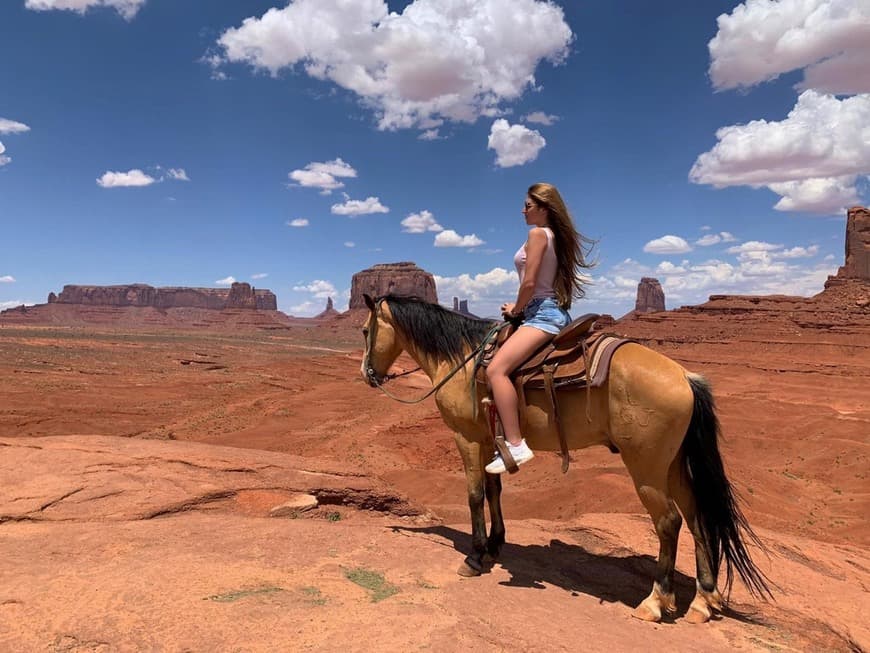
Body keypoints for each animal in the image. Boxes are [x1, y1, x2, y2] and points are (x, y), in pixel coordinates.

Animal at [360, 292, 768, 620]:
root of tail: (685, 376)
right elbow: (494, 492)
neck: (461, 359)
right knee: (698, 518)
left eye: (365, 331)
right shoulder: (489, 440)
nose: (367, 374)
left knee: (669, 522)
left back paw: (655, 603)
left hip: (647, 467)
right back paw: (703, 601)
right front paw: (494, 546)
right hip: (675, 466)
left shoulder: (467, 438)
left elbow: (475, 495)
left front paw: (474, 558)